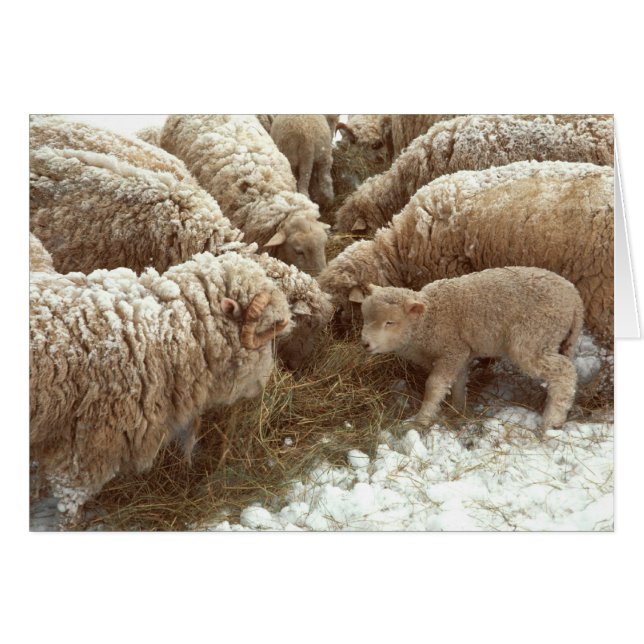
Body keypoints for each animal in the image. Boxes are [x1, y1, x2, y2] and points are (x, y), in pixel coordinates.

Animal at [358, 267, 583, 430]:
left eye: (390, 322)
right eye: (365, 318)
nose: (365, 343)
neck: (428, 319)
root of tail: (575, 298)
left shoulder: (452, 350)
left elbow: (434, 386)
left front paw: (420, 420)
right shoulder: (462, 352)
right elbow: (458, 382)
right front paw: (459, 410)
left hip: (534, 338)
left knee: (565, 372)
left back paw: (552, 421)